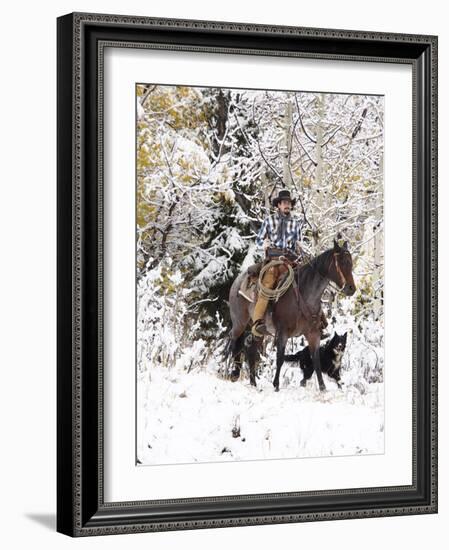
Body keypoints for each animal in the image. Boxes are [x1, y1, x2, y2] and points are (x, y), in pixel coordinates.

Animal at [226, 240, 356, 392]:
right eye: (341, 262)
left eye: (351, 263)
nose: (351, 288)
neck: (305, 295)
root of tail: (237, 281)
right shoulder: (283, 332)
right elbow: (280, 358)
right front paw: (276, 385)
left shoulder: (313, 334)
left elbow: (316, 360)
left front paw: (323, 388)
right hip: (239, 322)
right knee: (234, 341)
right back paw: (233, 373)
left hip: (258, 331)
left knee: (251, 350)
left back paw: (253, 383)